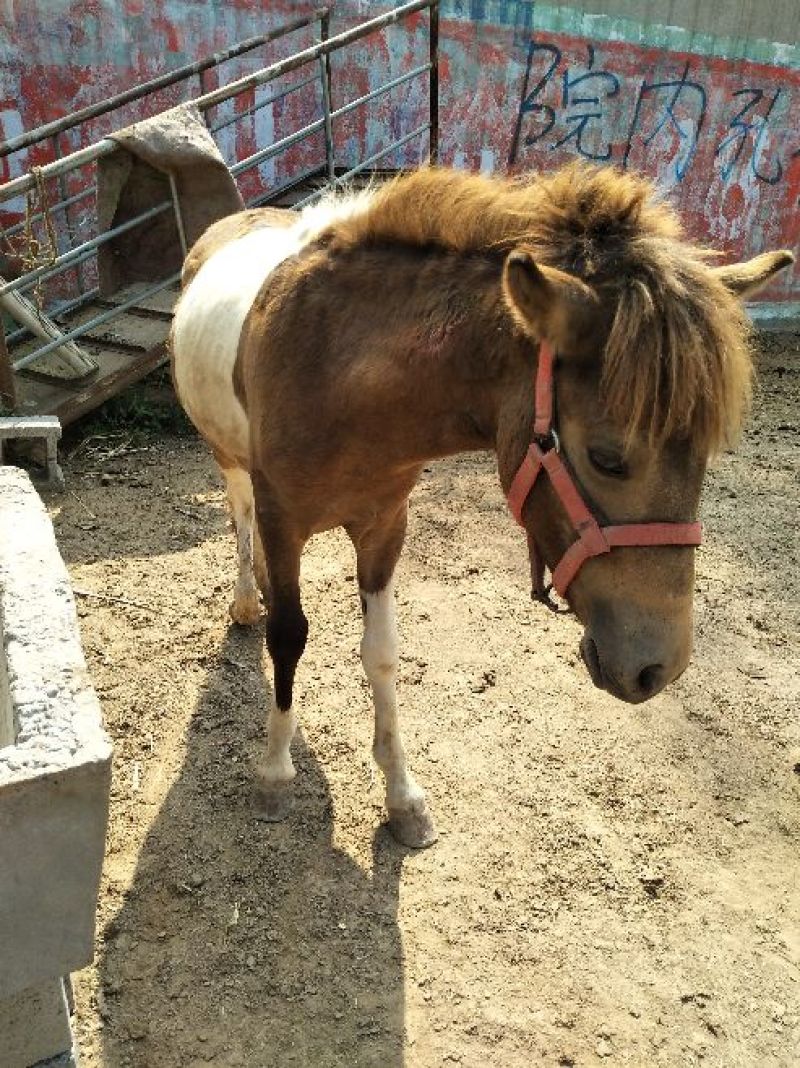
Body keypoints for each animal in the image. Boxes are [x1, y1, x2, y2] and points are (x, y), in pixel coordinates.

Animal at [170, 163, 792, 848]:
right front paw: (276, 775)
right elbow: (289, 636)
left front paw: (402, 796)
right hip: (228, 460)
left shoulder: (384, 526)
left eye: (708, 455)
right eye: (607, 458)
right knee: (239, 514)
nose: (658, 667)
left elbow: (381, 652)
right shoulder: (285, 524)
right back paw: (245, 600)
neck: (334, 366)